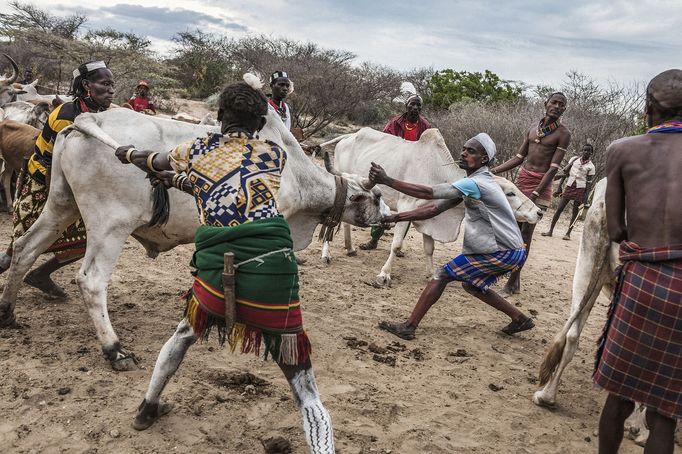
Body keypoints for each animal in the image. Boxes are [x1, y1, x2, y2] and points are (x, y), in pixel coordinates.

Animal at [0, 108, 386, 370]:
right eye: (375, 196)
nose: (385, 216)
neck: (298, 176)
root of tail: (90, 118)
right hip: (110, 226)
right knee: (91, 281)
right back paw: (115, 349)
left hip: (60, 206)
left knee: (23, 249)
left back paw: (7, 312)